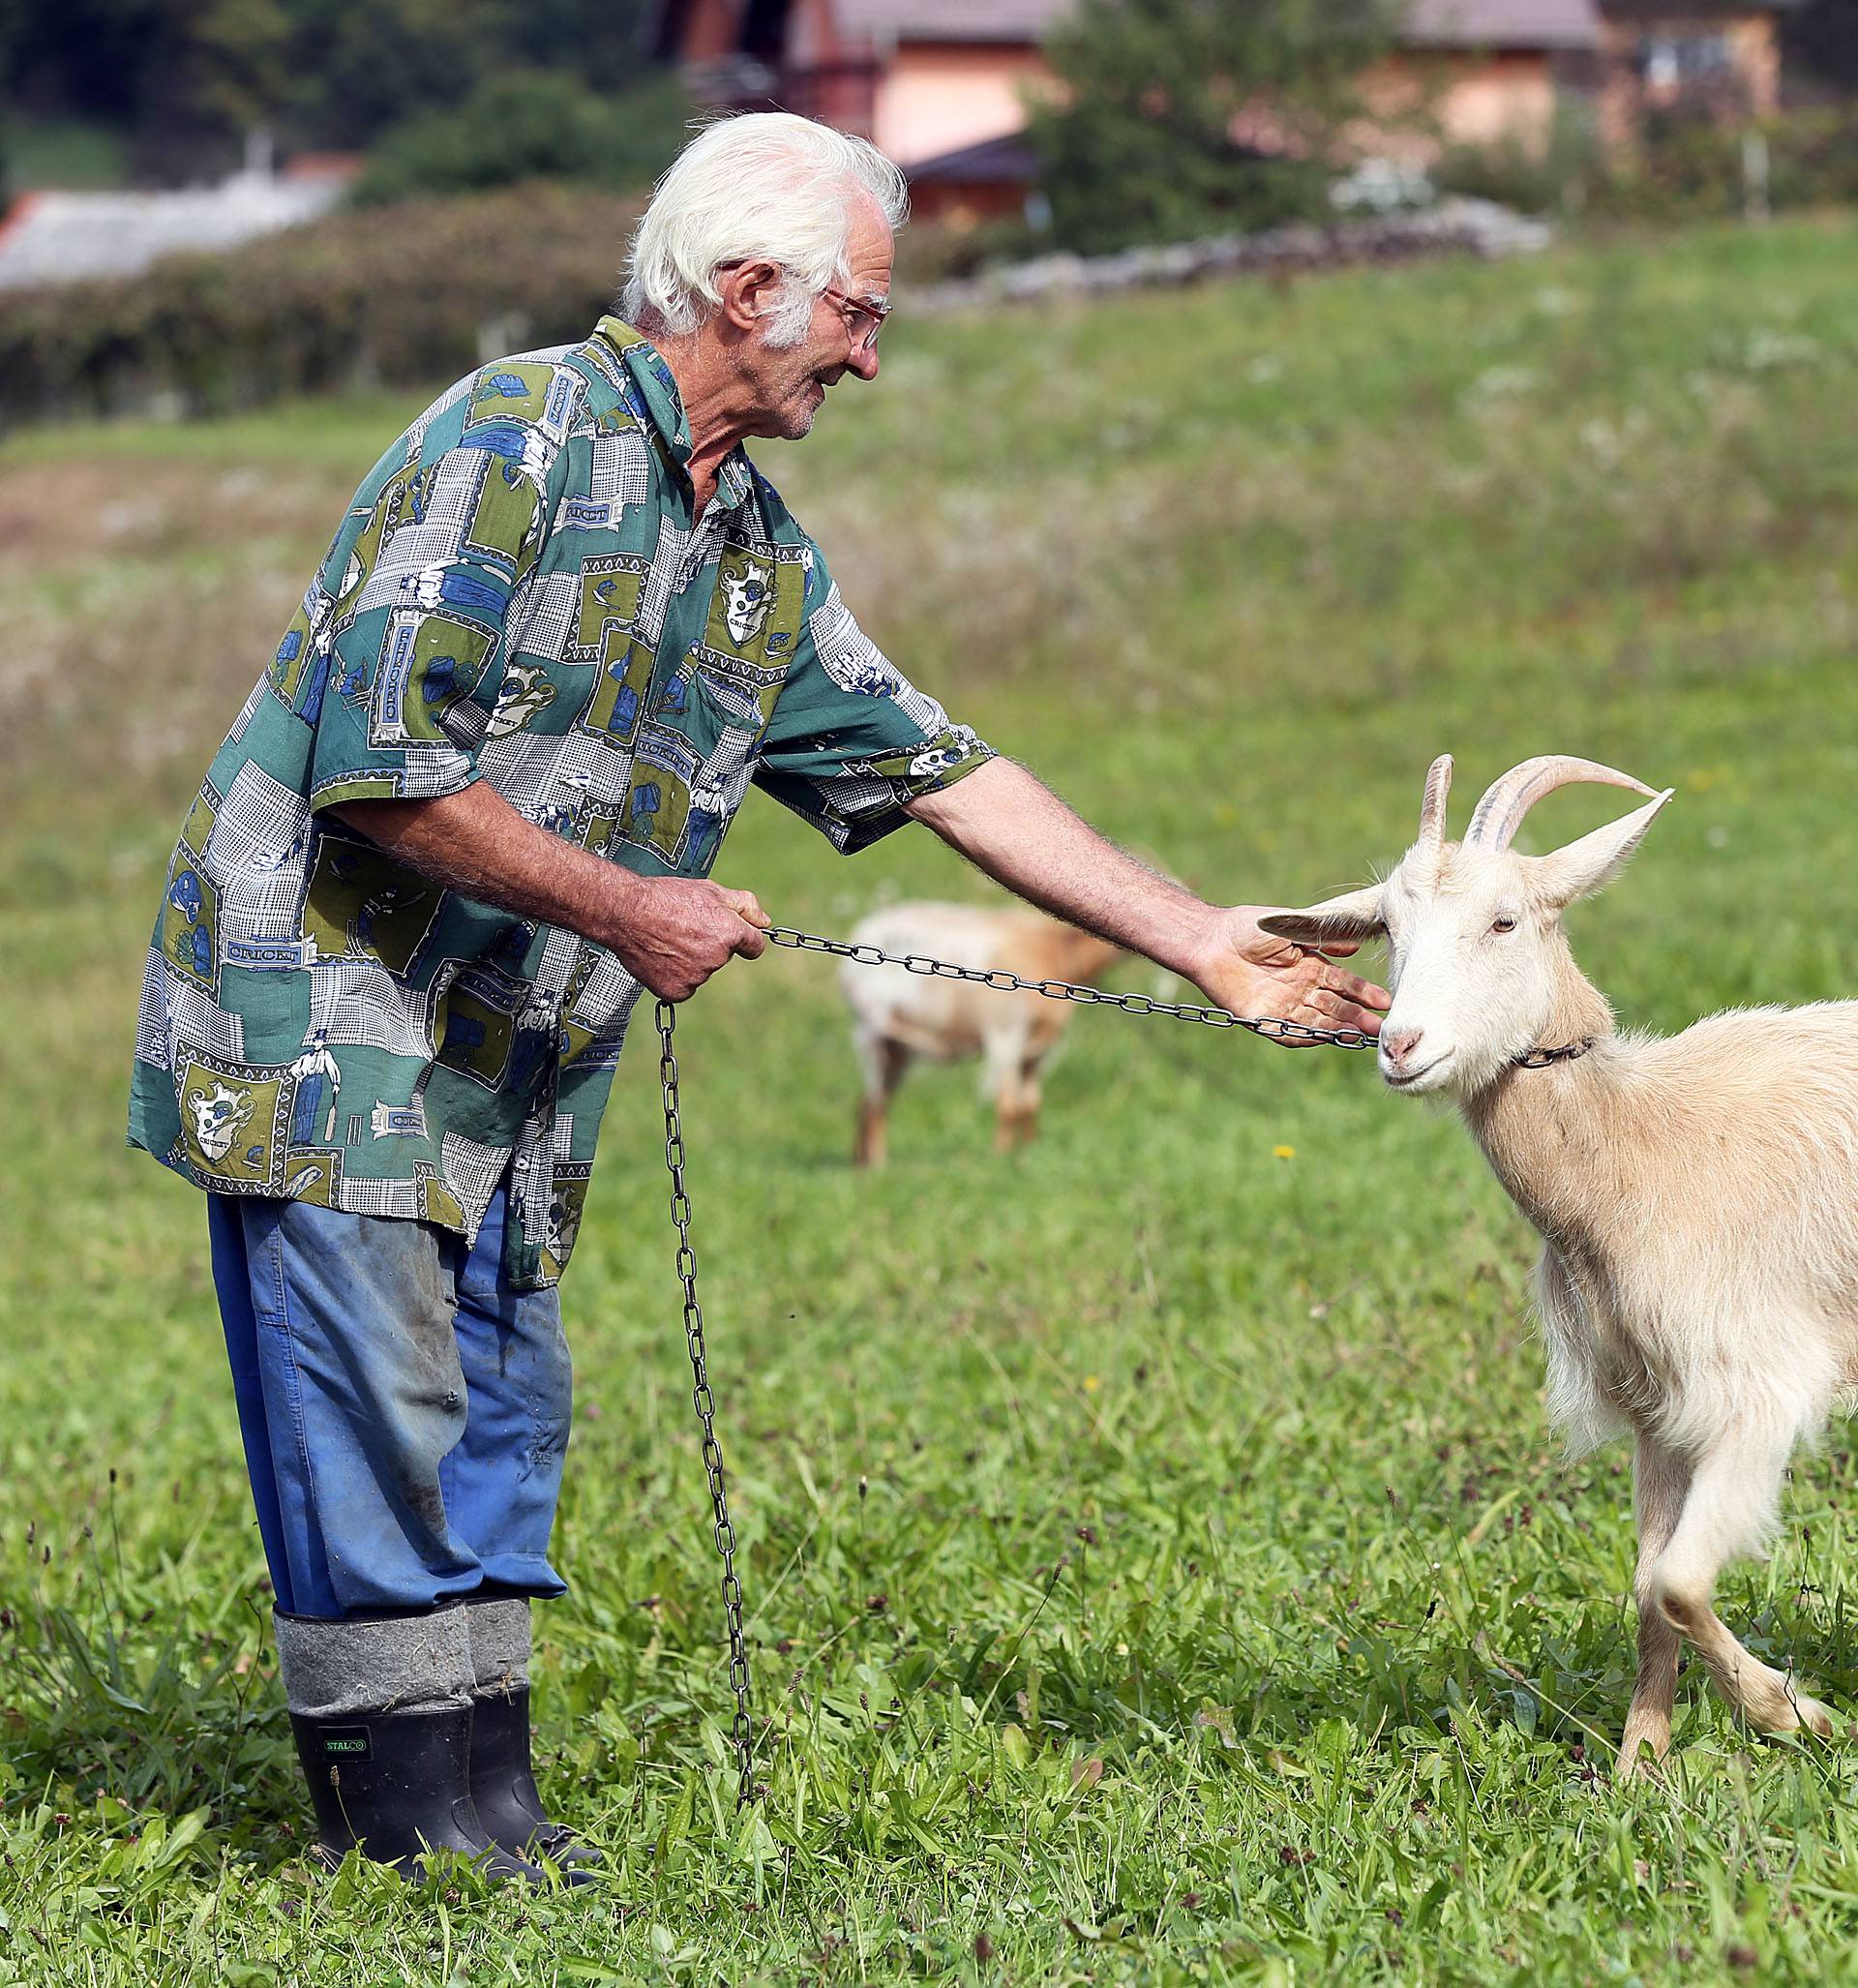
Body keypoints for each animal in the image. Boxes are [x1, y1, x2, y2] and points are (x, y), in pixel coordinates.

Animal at [842, 902, 1121, 1160]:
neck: (1056, 951)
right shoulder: (1005, 1034)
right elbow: (1008, 1105)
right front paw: (1000, 1157)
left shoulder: (1038, 1049)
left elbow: (1030, 1103)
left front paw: (1029, 1153)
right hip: (871, 1032)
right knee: (874, 1102)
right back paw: (877, 1164)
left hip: (896, 1047)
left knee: (871, 1101)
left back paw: (863, 1161)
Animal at [1264, 751, 1858, 1781]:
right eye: (1387, 931)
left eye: (1506, 920)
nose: (1401, 1046)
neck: (1634, 1148)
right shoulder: (1655, 1400)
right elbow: (1649, 1581)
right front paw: (1641, 1765)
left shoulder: (1758, 1378)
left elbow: (1680, 1579)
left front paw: (1798, 1716)